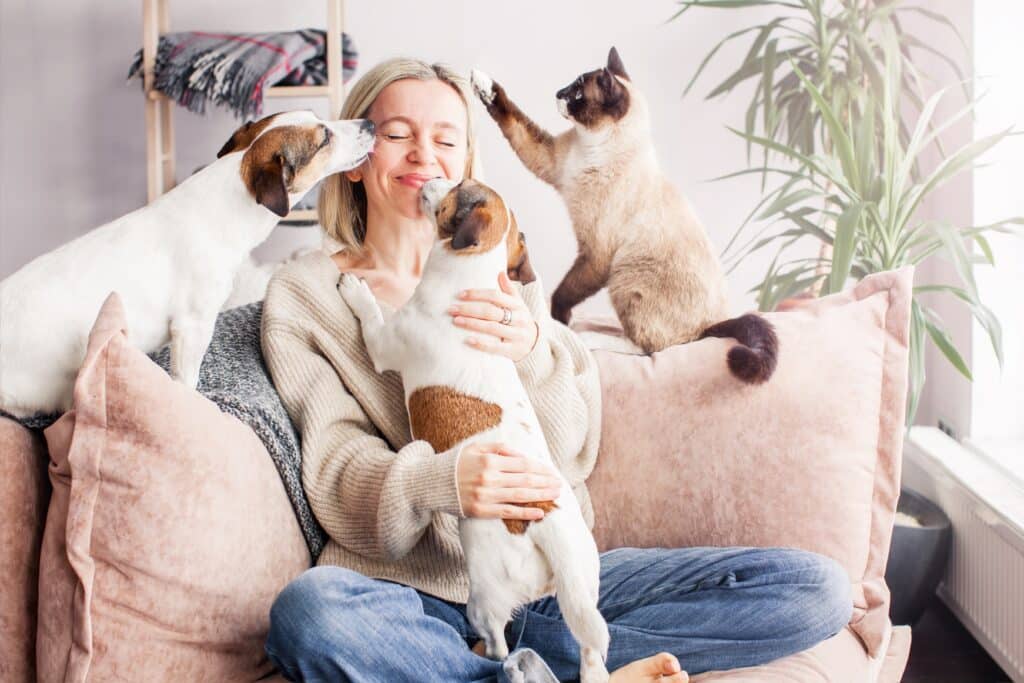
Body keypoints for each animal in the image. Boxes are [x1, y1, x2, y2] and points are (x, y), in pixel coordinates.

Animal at [337, 178, 606, 683]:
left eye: (458, 186)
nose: (430, 178)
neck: (469, 277)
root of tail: (547, 521)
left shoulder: (384, 342)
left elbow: (373, 316)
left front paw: (358, 291)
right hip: (584, 584)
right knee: (589, 650)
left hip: (485, 590)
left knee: (498, 642)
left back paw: (488, 651)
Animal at [468, 48, 774, 385]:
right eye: (570, 86)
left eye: (577, 93)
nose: (558, 94)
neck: (590, 148)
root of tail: (711, 326)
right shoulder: (548, 160)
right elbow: (511, 116)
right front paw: (481, 82)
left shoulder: (595, 255)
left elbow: (562, 295)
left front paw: (560, 322)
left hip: (625, 277)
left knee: (652, 347)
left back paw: (591, 338)